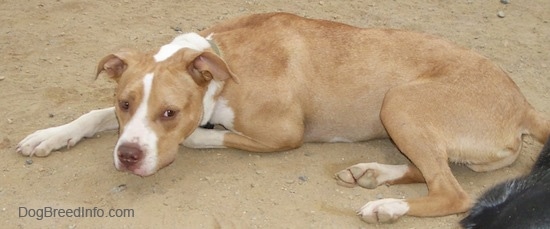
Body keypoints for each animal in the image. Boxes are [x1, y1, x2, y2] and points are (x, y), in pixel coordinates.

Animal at [16, 13, 550, 224]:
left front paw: (196, 136)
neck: (223, 63)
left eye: (170, 112)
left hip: (400, 101)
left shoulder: (283, 134)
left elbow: (211, 136)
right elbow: (92, 113)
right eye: (125, 103)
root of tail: (523, 103)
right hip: (404, 118)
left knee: (452, 192)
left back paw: (387, 206)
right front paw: (52, 135)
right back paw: (372, 172)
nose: (127, 157)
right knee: (428, 170)